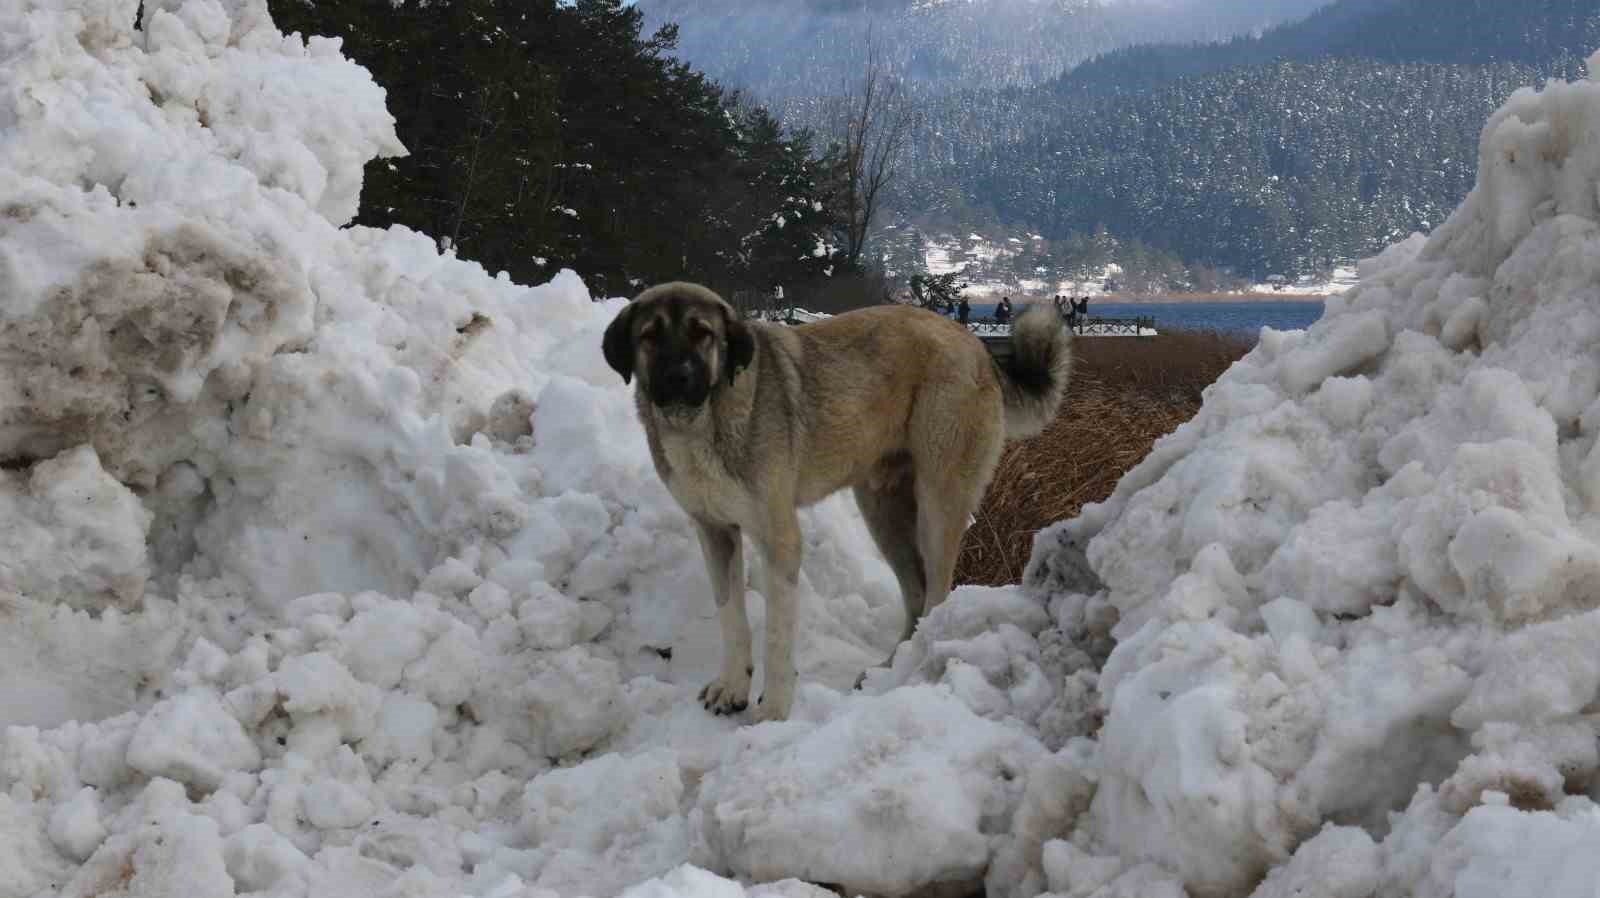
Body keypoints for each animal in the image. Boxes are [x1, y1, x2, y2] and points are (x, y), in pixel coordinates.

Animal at [601, 283, 1075, 723]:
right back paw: (891, 668)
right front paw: (732, 687)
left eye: (702, 333)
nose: (678, 377)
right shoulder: (714, 532)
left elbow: (777, 638)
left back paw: (916, 673)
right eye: (649, 335)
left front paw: (773, 711)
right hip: (883, 512)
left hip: (938, 506)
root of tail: (978, 347)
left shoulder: (779, 540)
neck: (702, 421)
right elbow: (732, 617)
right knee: (916, 593)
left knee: (937, 594)